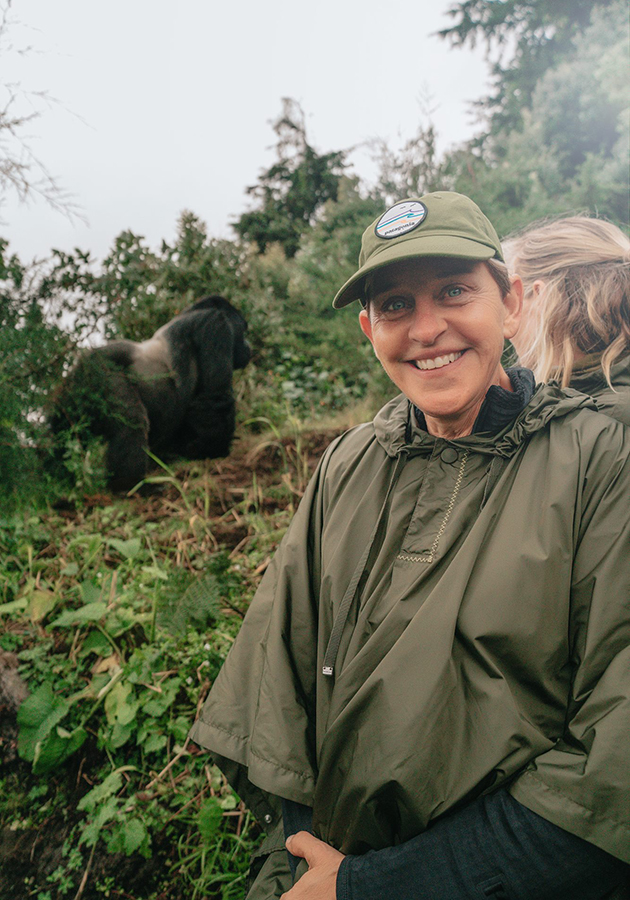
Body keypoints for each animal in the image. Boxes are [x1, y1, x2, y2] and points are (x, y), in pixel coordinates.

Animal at [51, 296, 253, 492]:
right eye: (243, 331)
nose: (249, 347)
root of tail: (80, 366)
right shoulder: (215, 324)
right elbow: (215, 398)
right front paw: (213, 451)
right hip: (101, 375)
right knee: (132, 421)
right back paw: (130, 484)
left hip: (72, 394)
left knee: (61, 433)